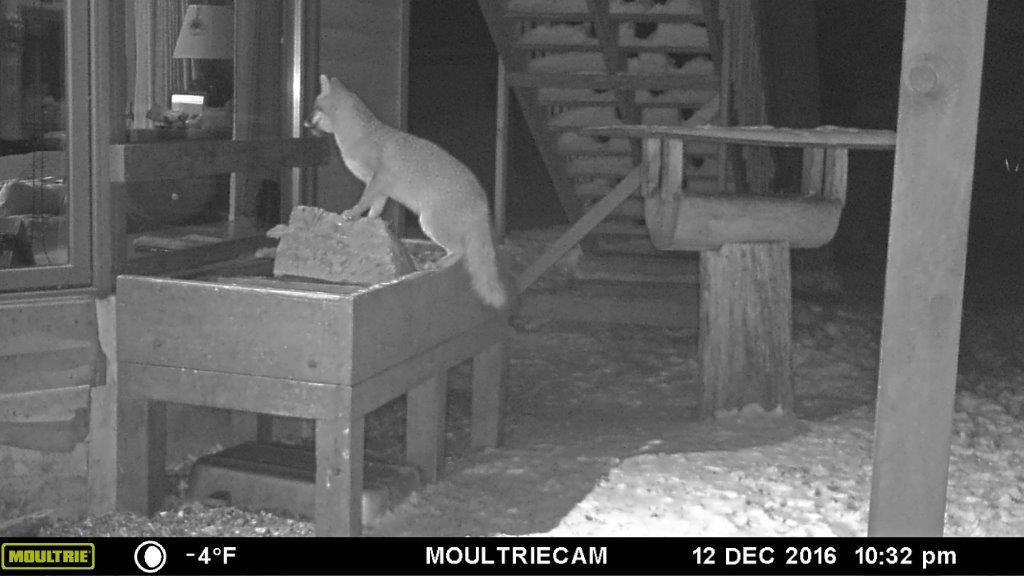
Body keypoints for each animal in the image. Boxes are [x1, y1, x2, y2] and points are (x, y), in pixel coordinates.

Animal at [304, 74, 508, 309]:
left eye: (313, 108)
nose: (304, 123)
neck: (360, 134)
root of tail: (483, 201)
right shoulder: (380, 189)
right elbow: (375, 209)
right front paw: (371, 223)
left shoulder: (377, 179)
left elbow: (364, 201)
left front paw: (353, 214)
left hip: (429, 224)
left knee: (460, 250)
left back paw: (436, 264)